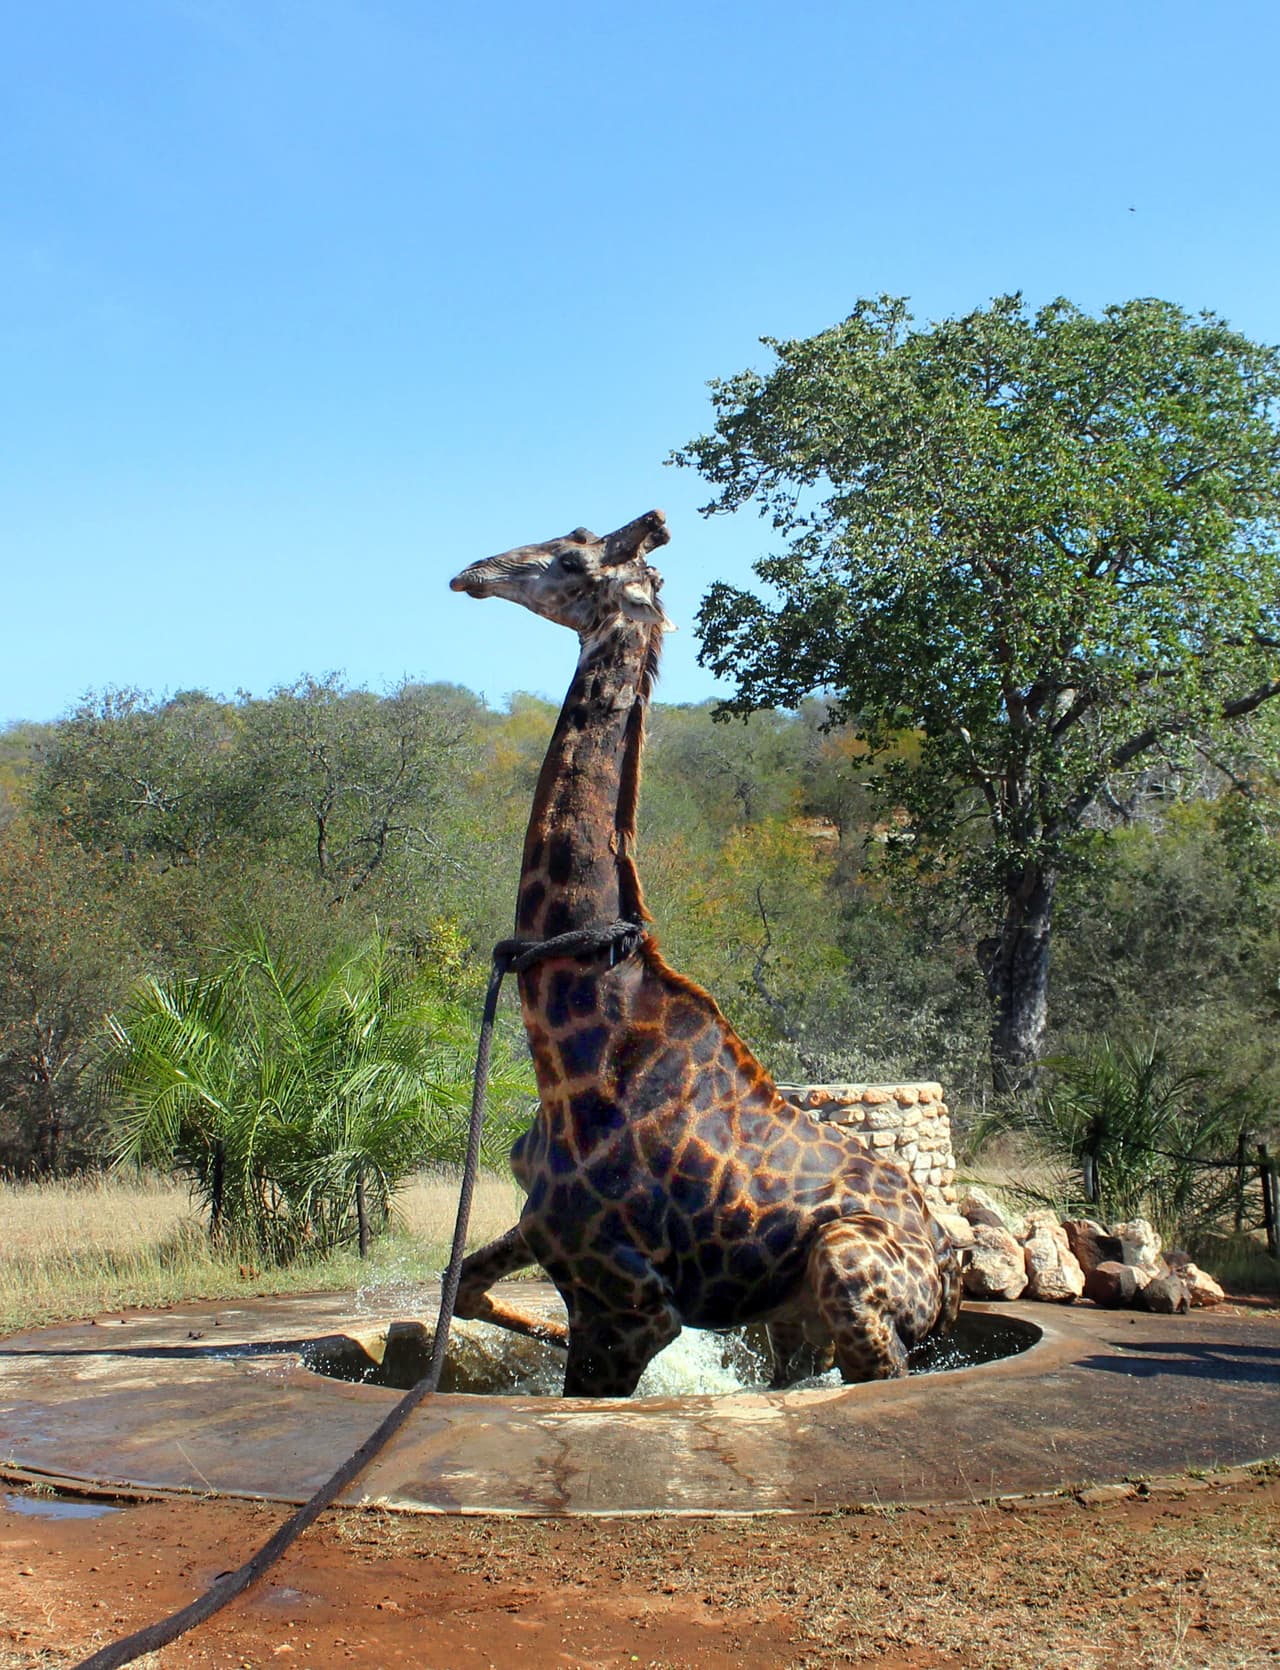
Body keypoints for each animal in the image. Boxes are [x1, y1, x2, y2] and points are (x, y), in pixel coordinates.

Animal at [449, 509, 963, 1397]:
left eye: (572, 557)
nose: (472, 573)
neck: (578, 1019)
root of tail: (944, 1267)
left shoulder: (630, 1308)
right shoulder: (543, 1233)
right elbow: (464, 1290)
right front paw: (532, 1329)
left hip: (847, 1271)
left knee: (883, 1372)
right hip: (796, 1318)